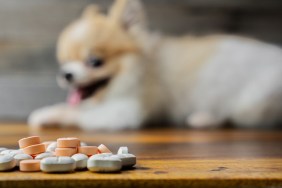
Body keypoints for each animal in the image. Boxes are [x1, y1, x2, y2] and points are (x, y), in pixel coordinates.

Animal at [28, 0, 282, 131]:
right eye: (63, 61)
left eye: (94, 61)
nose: (66, 74)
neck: (140, 67)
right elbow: (76, 106)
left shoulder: (128, 110)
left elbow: (79, 112)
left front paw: (50, 115)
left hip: (250, 107)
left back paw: (204, 119)